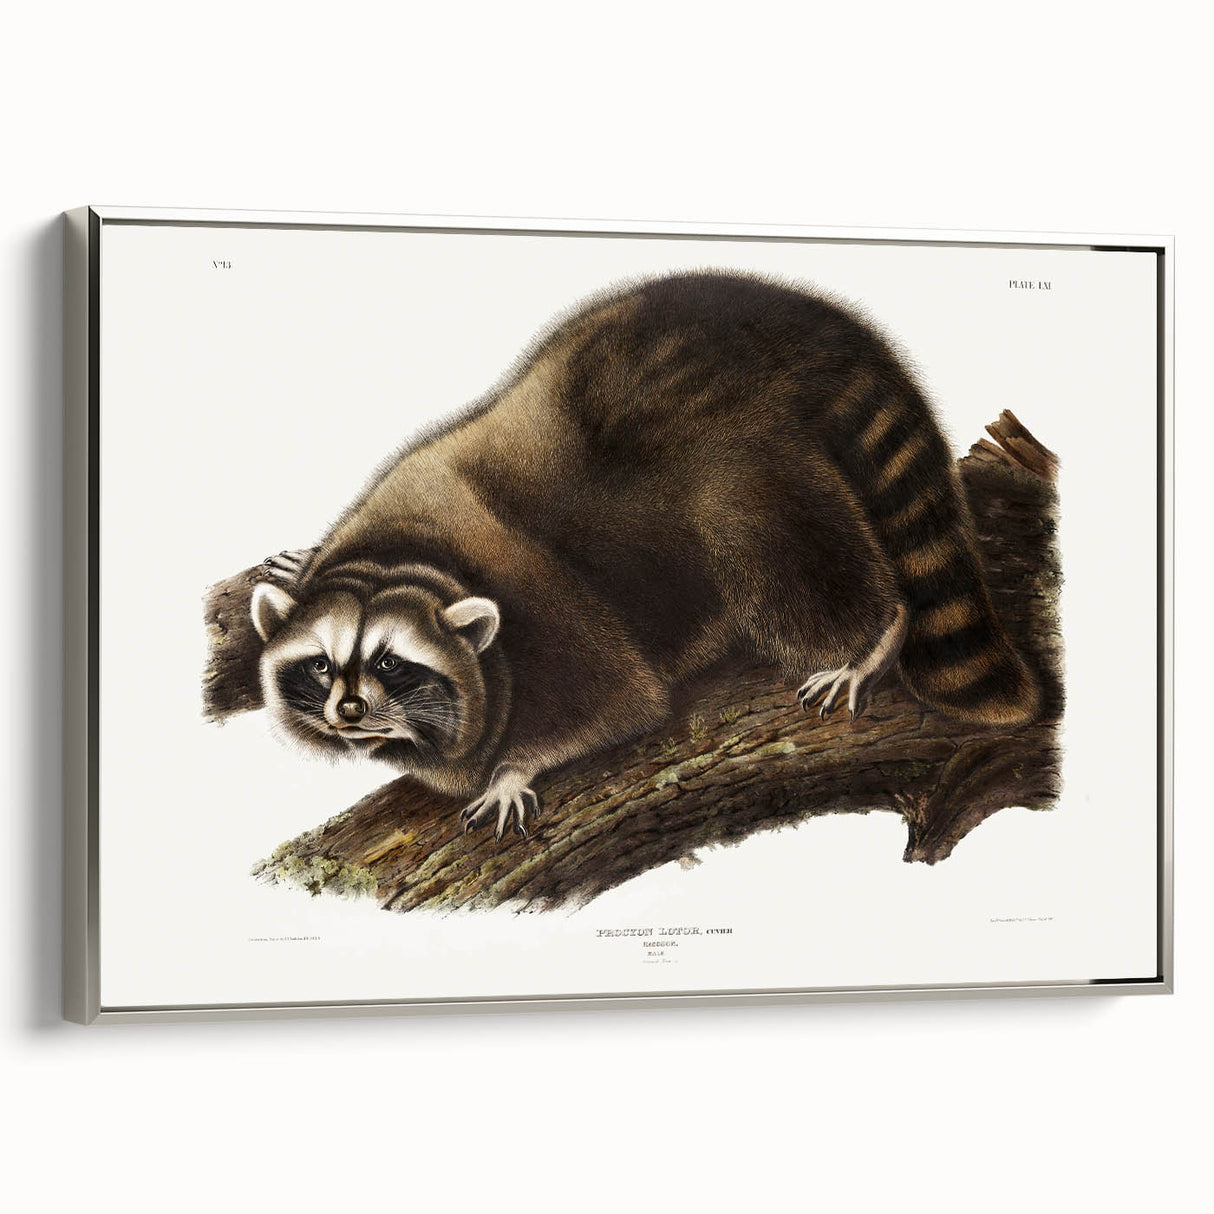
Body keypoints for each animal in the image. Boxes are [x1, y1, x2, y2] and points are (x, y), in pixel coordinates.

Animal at [250, 270, 1040, 839]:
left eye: (391, 663)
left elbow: (622, 702)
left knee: (769, 544)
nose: (350, 710)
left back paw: (871, 634)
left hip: (741, 454)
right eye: (320, 665)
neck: (405, 559)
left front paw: (512, 769)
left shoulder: (547, 611)